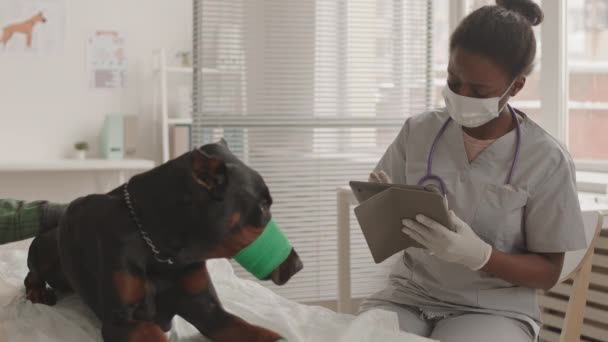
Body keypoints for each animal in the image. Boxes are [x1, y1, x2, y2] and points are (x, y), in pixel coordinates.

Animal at [24, 140, 304, 340]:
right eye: (263, 207)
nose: (298, 265)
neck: (161, 250)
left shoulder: (209, 310)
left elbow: (258, 331)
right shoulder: (122, 321)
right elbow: (150, 330)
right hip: (45, 246)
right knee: (31, 272)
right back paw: (37, 291)